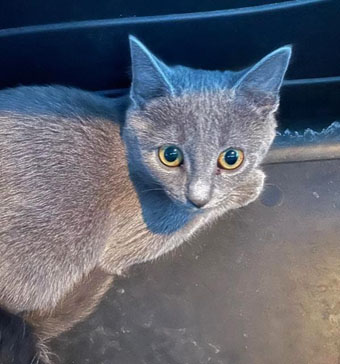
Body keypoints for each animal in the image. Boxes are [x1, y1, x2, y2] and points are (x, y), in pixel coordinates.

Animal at [0, 36, 290, 362]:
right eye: (170, 155)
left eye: (231, 158)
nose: (197, 197)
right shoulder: (133, 236)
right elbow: (190, 221)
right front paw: (251, 184)